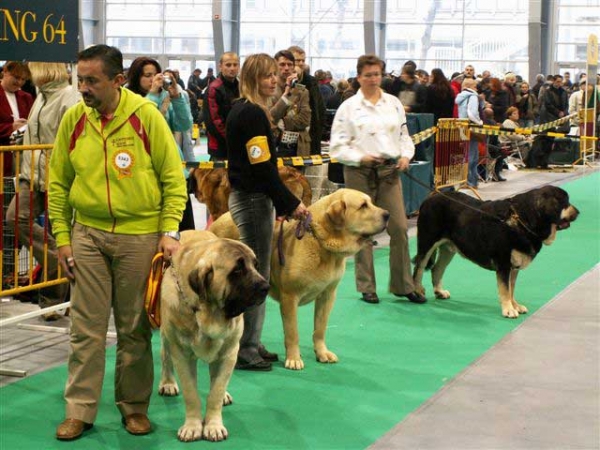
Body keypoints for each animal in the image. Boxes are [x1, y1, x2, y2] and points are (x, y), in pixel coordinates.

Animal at [414, 185, 580, 318]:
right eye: (565, 202)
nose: (578, 212)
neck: (522, 219)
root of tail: (429, 198)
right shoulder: (504, 264)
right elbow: (505, 289)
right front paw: (509, 310)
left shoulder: (514, 266)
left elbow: (511, 288)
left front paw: (515, 305)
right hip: (427, 243)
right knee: (419, 269)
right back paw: (417, 292)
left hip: (448, 249)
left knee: (437, 269)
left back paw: (439, 292)